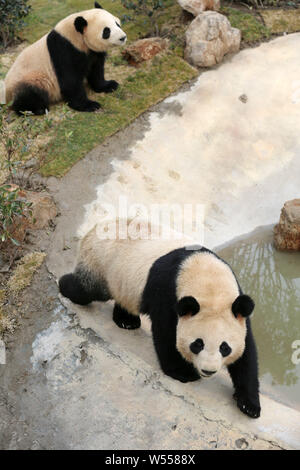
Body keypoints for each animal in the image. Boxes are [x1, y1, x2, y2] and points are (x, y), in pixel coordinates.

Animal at [58, 218, 260, 416]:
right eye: (197, 344)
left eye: (224, 347)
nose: (208, 370)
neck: (208, 280)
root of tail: (96, 226)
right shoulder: (168, 292)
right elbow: (166, 332)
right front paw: (183, 372)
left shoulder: (236, 307)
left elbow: (247, 354)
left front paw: (249, 404)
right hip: (100, 262)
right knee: (86, 289)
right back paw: (64, 284)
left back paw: (126, 320)